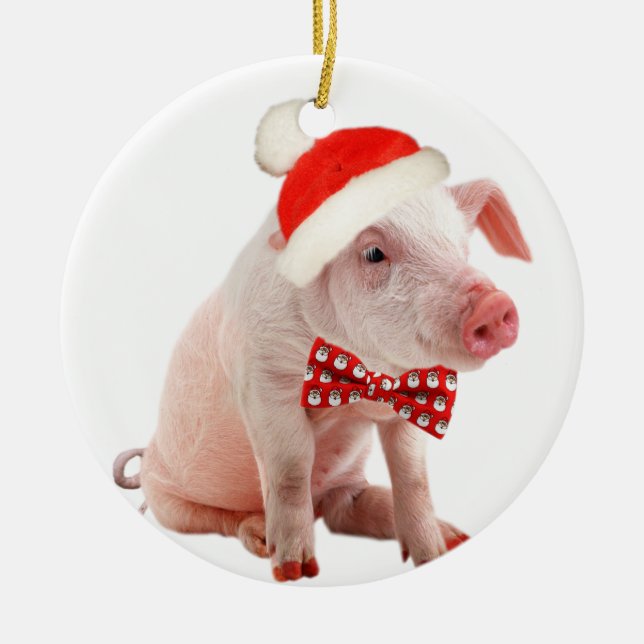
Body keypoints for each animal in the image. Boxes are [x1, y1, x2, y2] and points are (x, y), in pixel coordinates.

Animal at [113, 139, 530, 583]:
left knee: (344, 508)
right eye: (373, 253)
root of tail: (147, 461)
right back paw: (260, 536)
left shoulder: (413, 397)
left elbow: (413, 477)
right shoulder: (263, 381)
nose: (493, 304)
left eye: (461, 249)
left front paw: (434, 554)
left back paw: (452, 535)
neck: (366, 372)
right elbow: (290, 472)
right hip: (169, 500)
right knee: (219, 517)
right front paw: (295, 571)